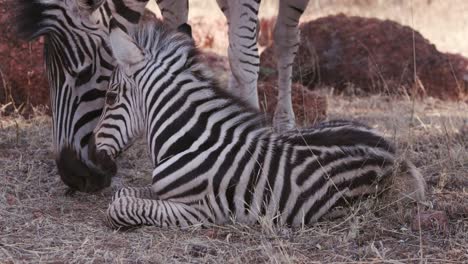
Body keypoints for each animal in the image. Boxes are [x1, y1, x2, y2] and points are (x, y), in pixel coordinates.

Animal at [88, 19, 428, 228]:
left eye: (111, 97)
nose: (93, 154)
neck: (190, 141)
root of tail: (389, 147)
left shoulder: (202, 210)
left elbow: (121, 205)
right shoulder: (164, 194)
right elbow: (124, 194)